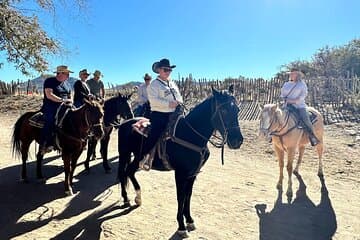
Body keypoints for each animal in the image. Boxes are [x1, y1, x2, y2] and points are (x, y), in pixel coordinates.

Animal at [116, 86, 243, 238]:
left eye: (237, 110)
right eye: (223, 110)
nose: (237, 141)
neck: (190, 135)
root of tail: (124, 124)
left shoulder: (192, 174)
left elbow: (188, 196)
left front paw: (189, 220)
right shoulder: (180, 174)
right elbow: (181, 197)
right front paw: (181, 227)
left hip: (136, 157)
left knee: (129, 171)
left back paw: (138, 198)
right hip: (124, 154)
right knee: (123, 173)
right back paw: (126, 198)